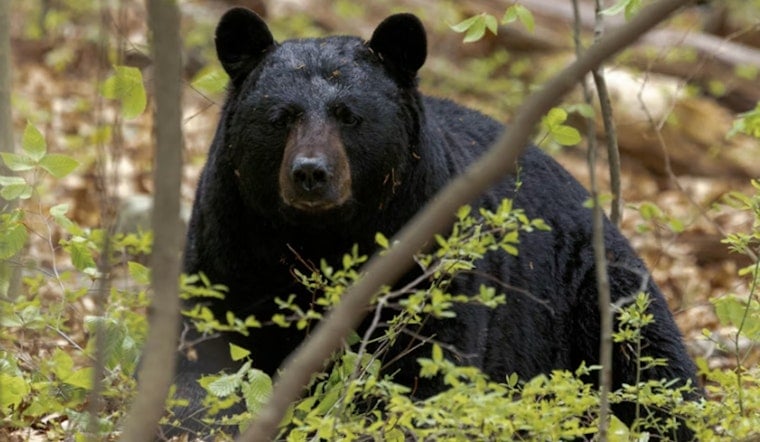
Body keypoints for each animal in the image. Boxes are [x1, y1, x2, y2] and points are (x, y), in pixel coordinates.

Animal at [169, 7, 699, 439]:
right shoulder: (230, 240)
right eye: (281, 116)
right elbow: (206, 351)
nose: (310, 173)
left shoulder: (428, 252)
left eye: (349, 115)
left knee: (655, 367)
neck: (322, 238)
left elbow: (429, 365)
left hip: (594, 291)